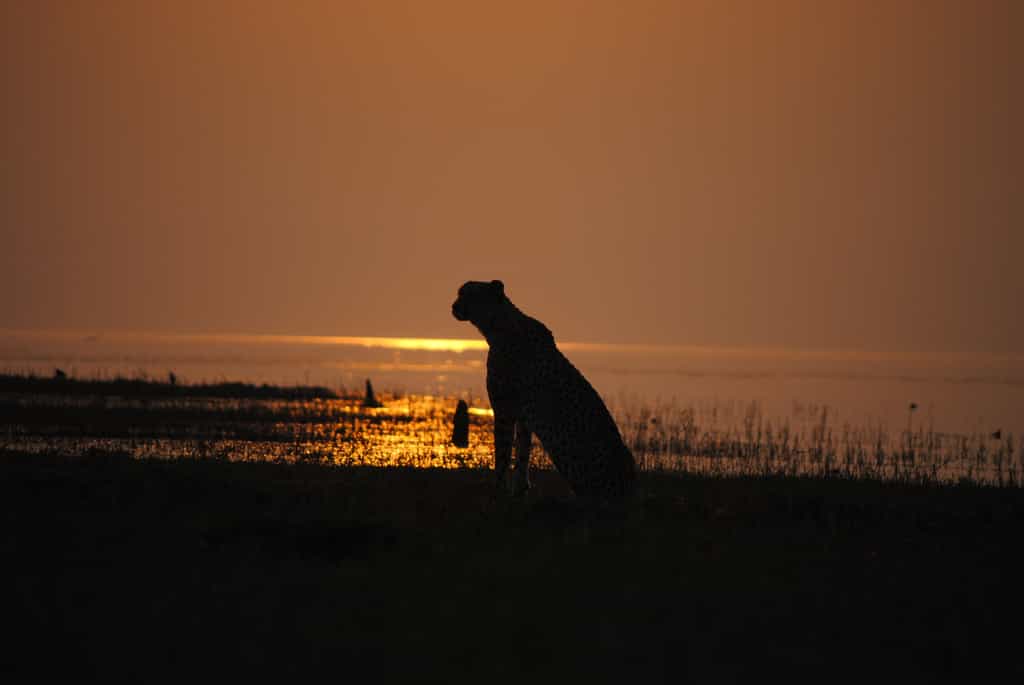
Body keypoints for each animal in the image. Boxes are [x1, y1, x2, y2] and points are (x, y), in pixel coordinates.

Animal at [452, 280, 636, 500]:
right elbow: (522, 454)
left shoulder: (505, 410)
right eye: (460, 293)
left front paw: (499, 490)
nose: (453, 306)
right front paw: (520, 490)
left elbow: (503, 454)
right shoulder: (523, 416)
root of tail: (630, 491)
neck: (500, 324)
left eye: (467, 294)